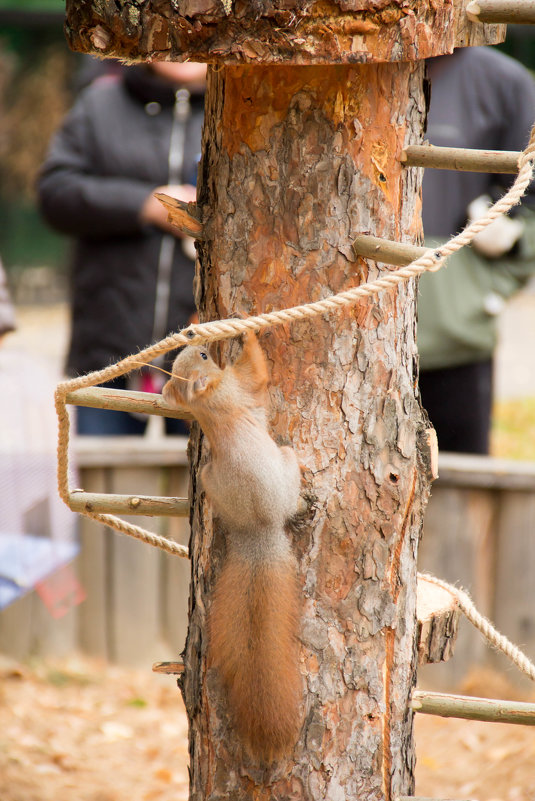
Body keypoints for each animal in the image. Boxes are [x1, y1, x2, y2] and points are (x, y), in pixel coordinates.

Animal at [161, 328, 304, 760]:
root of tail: (258, 531)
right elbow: (255, 370)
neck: (206, 401)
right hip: (287, 462)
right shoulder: (239, 386)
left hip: (209, 478)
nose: (201, 339)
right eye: (206, 357)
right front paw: (248, 329)